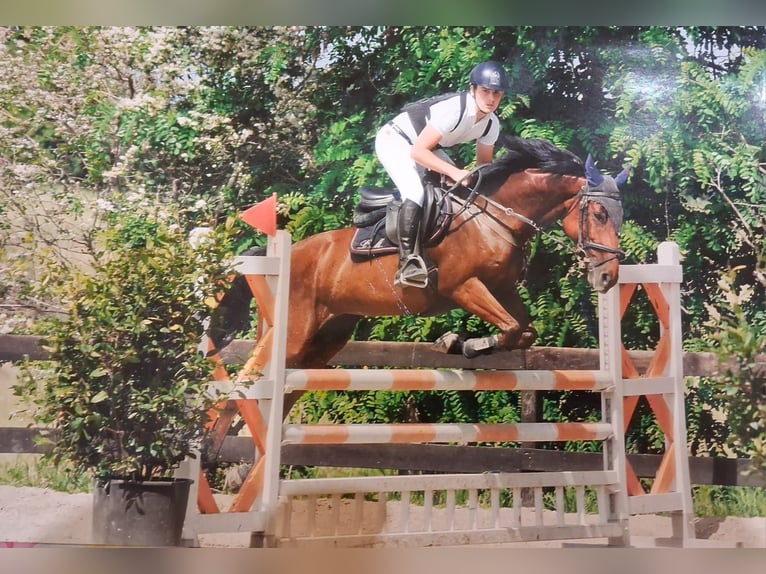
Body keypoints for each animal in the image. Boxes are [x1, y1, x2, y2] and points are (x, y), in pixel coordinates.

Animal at [210, 137, 628, 392]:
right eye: (598, 214)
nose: (609, 276)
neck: (494, 217)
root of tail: (281, 257)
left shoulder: (503, 289)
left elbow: (525, 332)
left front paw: (460, 344)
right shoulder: (463, 286)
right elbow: (511, 328)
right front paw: (463, 342)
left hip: (322, 341)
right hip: (293, 333)